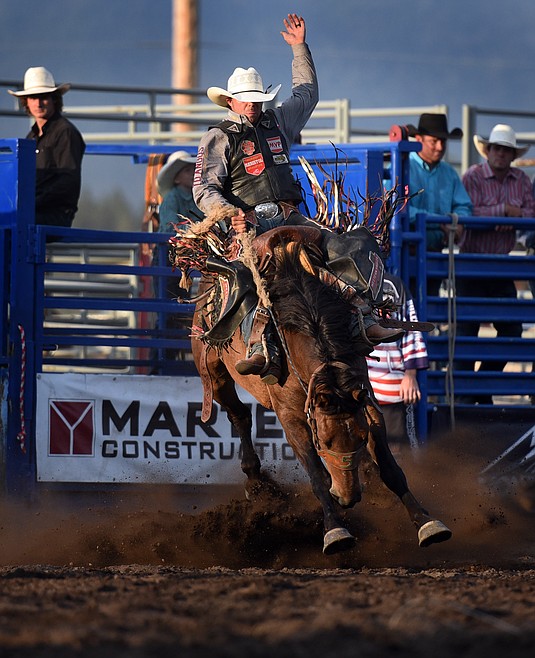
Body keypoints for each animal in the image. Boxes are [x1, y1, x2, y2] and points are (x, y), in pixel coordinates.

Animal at [191, 226, 450, 552]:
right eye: (323, 441)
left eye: (361, 436)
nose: (349, 498)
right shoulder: (291, 418)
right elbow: (317, 475)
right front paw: (334, 529)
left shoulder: (367, 404)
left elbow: (391, 468)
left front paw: (426, 522)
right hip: (214, 372)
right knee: (239, 415)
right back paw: (255, 480)